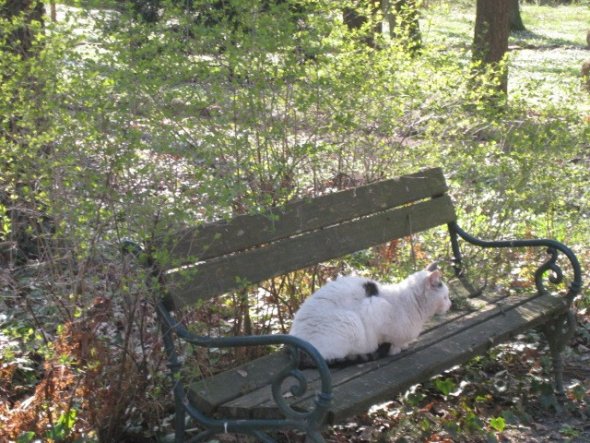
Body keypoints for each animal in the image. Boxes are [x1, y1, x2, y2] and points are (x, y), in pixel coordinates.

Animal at [292, 266, 454, 366]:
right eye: (445, 297)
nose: (450, 303)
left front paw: (403, 345)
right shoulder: (374, 307)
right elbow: (391, 340)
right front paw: (396, 348)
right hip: (351, 322)